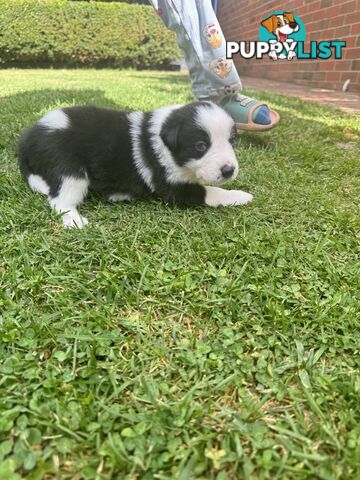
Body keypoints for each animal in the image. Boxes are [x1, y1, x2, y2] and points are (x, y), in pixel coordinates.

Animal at [17, 101, 253, 227]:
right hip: (69, 168)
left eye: (232, 141)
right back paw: (75, 221)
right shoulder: (172, 185)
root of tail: (29, 138)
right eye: (201, 146)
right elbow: (211, 192)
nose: (229, 170)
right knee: (59, 201)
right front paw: (240, 196)